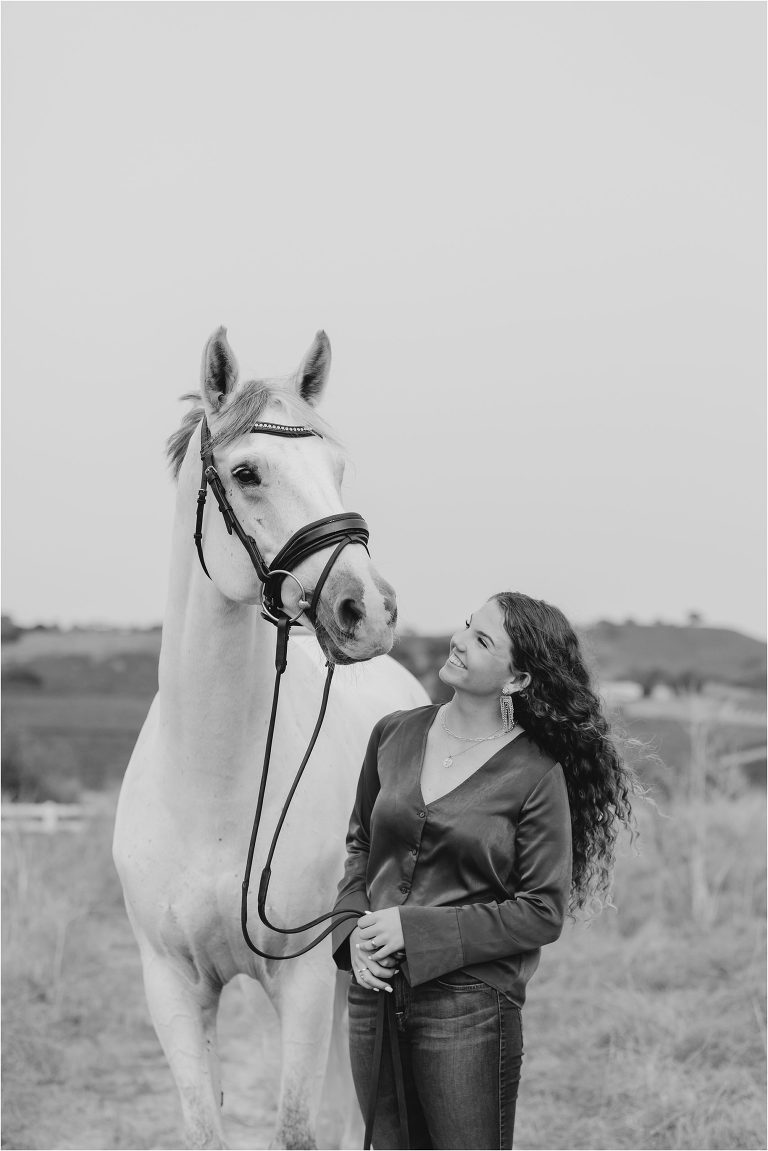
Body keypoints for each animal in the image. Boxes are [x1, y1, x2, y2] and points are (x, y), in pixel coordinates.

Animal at [113, 327, 429, 1150]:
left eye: (338, 468)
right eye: (247, 471)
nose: (368, 609)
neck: (216, 787)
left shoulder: (308, 978)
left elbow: (298, 1127)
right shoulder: (171, 985)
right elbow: (205, 1128)